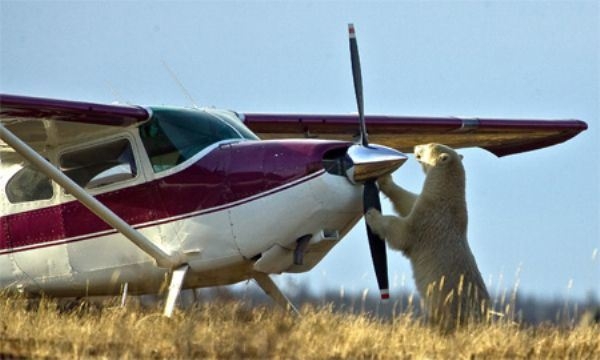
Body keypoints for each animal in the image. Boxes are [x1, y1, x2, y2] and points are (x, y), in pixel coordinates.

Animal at [364, 142, 490, 330]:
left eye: (429, 145)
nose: (416, 146)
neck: (446, 197)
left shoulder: (429, 219)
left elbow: (402, 232)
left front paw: (372, 214)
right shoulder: (426, 204)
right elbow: (408, 201)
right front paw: (385, 179)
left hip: (450, 307)